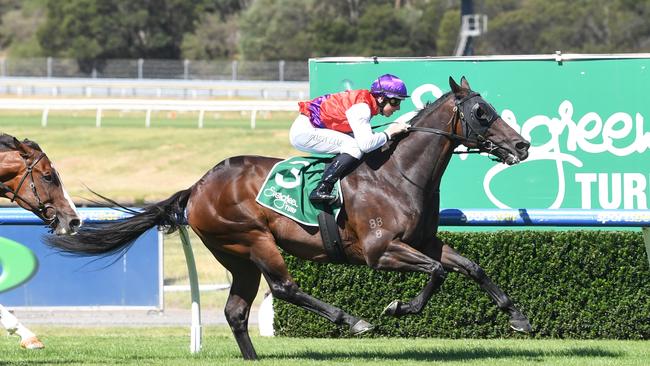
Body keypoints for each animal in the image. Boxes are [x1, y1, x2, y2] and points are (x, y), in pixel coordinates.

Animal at [48, 76, 528, 358]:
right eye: (482, 113)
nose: (522, 145)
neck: (397, 173)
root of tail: (198, 186)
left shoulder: (423, 241)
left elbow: (471, 266)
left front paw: (517, 317)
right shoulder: (380, 250)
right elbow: (437, 273)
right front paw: (399, 306)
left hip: (235, 255)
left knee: (236, 311)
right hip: (252, 239)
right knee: (284, 287)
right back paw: (350, 319)